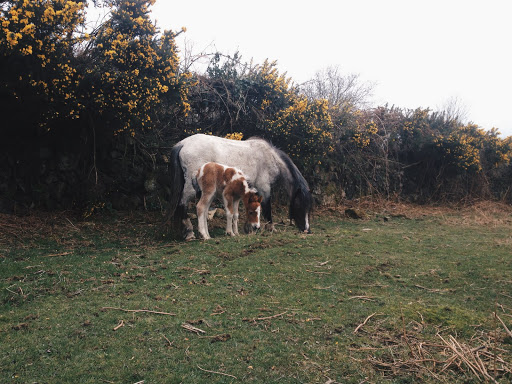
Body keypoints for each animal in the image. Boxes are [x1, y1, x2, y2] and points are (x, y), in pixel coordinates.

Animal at [169, 134, 312, 238]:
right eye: (300, 205)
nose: (307, 230)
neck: (270, 157)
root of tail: (182, 144)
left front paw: (248, 228)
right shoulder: (264, 187)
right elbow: (267, 207)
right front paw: (270, 227)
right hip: (192, 189)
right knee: (183, 204)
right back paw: (190, 232)